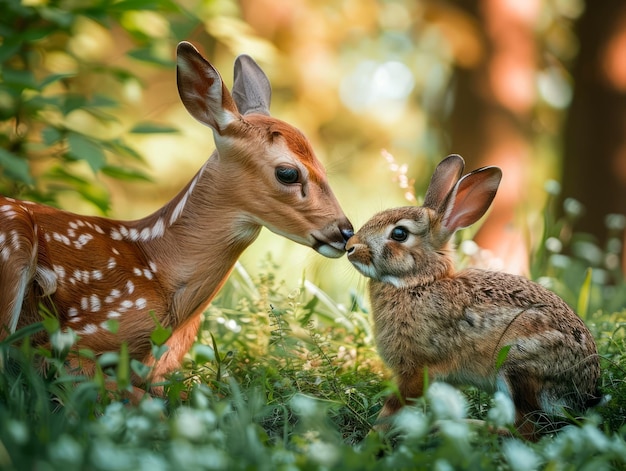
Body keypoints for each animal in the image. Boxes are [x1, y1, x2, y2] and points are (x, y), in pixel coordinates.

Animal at [346, 156, 600, 442]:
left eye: (399, 234)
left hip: (517, 367)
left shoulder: (417, 370)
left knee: (527, 431)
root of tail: (586, 390)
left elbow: (393, 407)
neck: (418, 283)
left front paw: (372, 437)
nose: (350, 247)